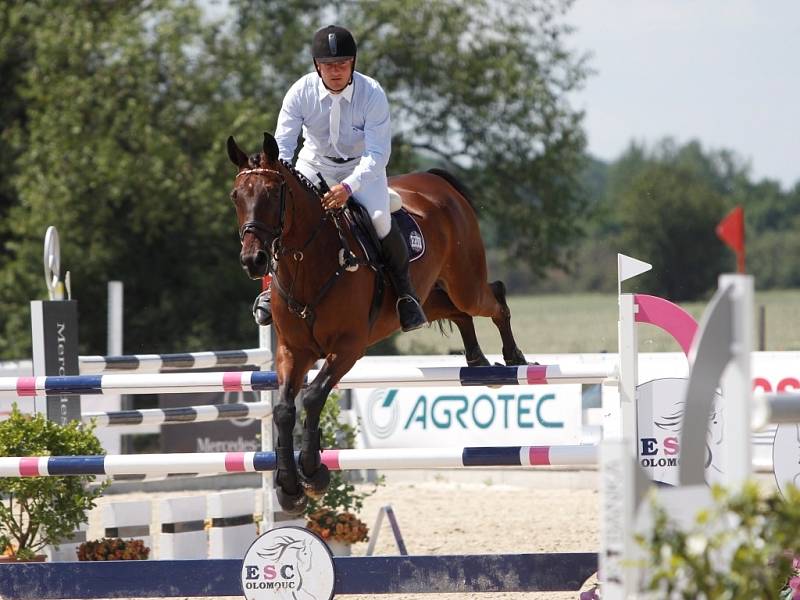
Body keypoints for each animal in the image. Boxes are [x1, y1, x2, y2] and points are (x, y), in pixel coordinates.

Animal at [227, 134, 524, 512]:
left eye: (271, 192)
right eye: (237, 196)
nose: (253, 260)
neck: (309, 262)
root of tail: (436, 182)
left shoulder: (348, 347)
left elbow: (313, 396)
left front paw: (313, 474)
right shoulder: (293, 351)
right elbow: (282, 409)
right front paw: (289, 489)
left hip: (465, 284)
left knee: (493, 297)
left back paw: (513, 357)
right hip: (431, 295)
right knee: (459, 313)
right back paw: (478, 361)